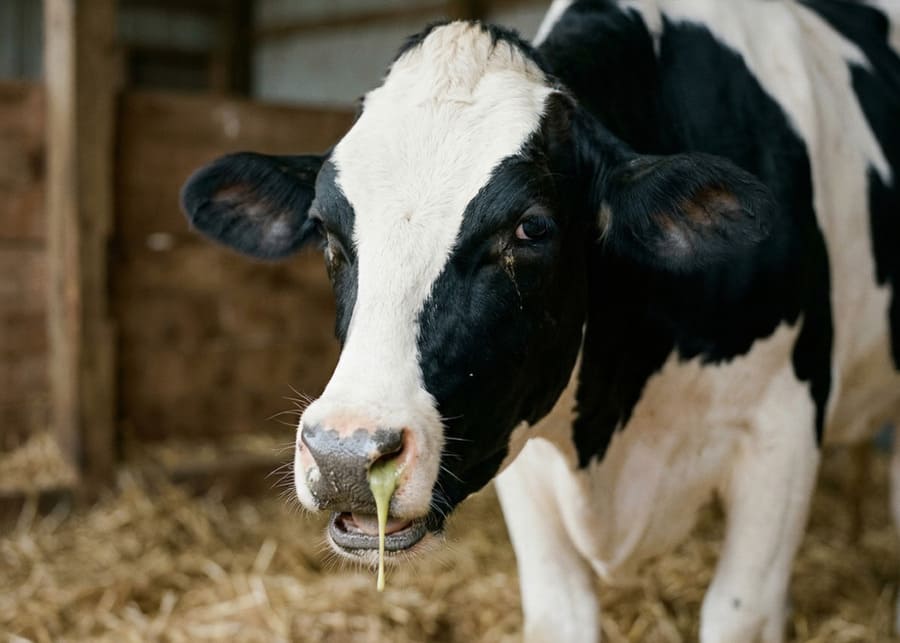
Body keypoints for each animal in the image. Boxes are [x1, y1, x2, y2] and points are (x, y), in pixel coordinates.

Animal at [180, 1, 900, 641]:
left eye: (531, 227)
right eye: (328, 233)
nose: (345, 455)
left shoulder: (782, 430)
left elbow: (739, 612)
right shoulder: (520, 442)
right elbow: (561, 615)